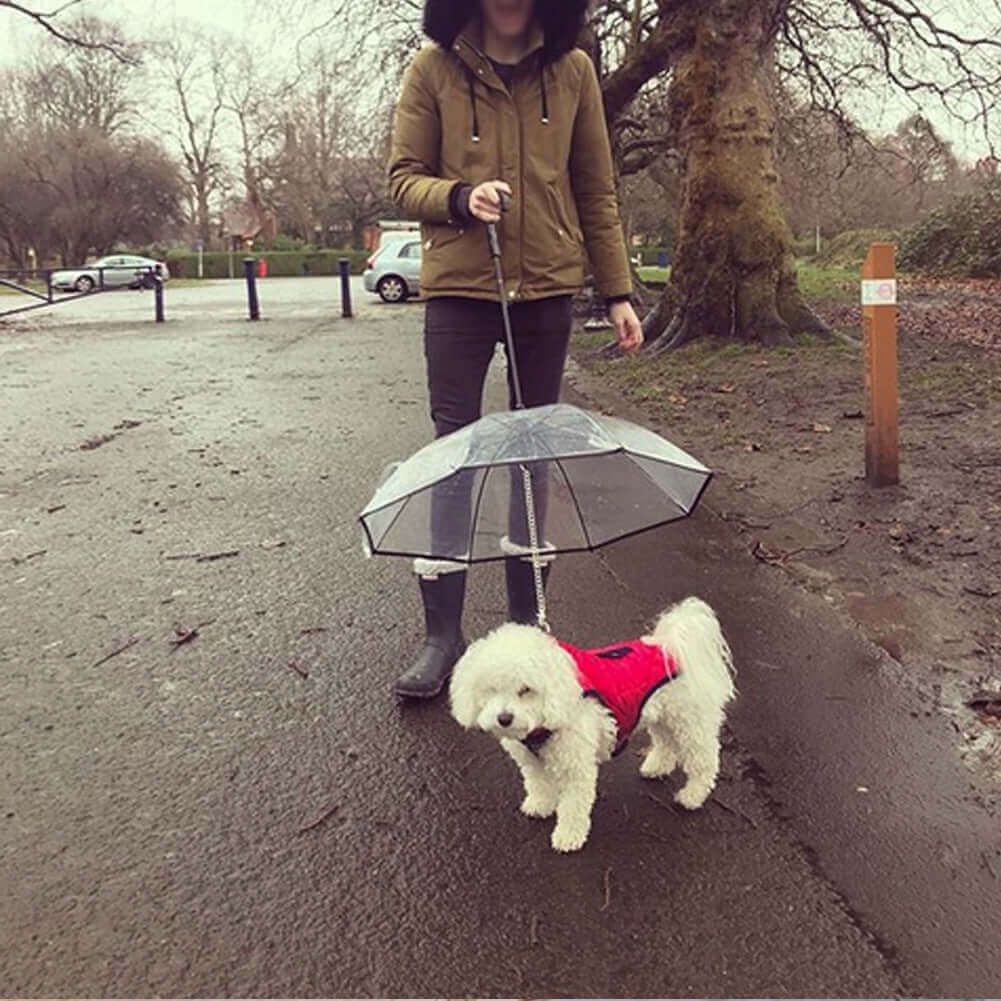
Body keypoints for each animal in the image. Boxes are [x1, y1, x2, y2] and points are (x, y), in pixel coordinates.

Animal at [450, 592, 732, 852]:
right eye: (491, 689)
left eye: (526, 690)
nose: (504, 719)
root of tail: (671, 644)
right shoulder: (533, 763)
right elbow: (539, 785)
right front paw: (541, 805)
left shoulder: (576, 767)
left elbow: (573, 806)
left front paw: (568, 837)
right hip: (664, 717)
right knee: (665, 742)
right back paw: (657, 767)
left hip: (691, 723)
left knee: (704, 761)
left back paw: (692, 796)